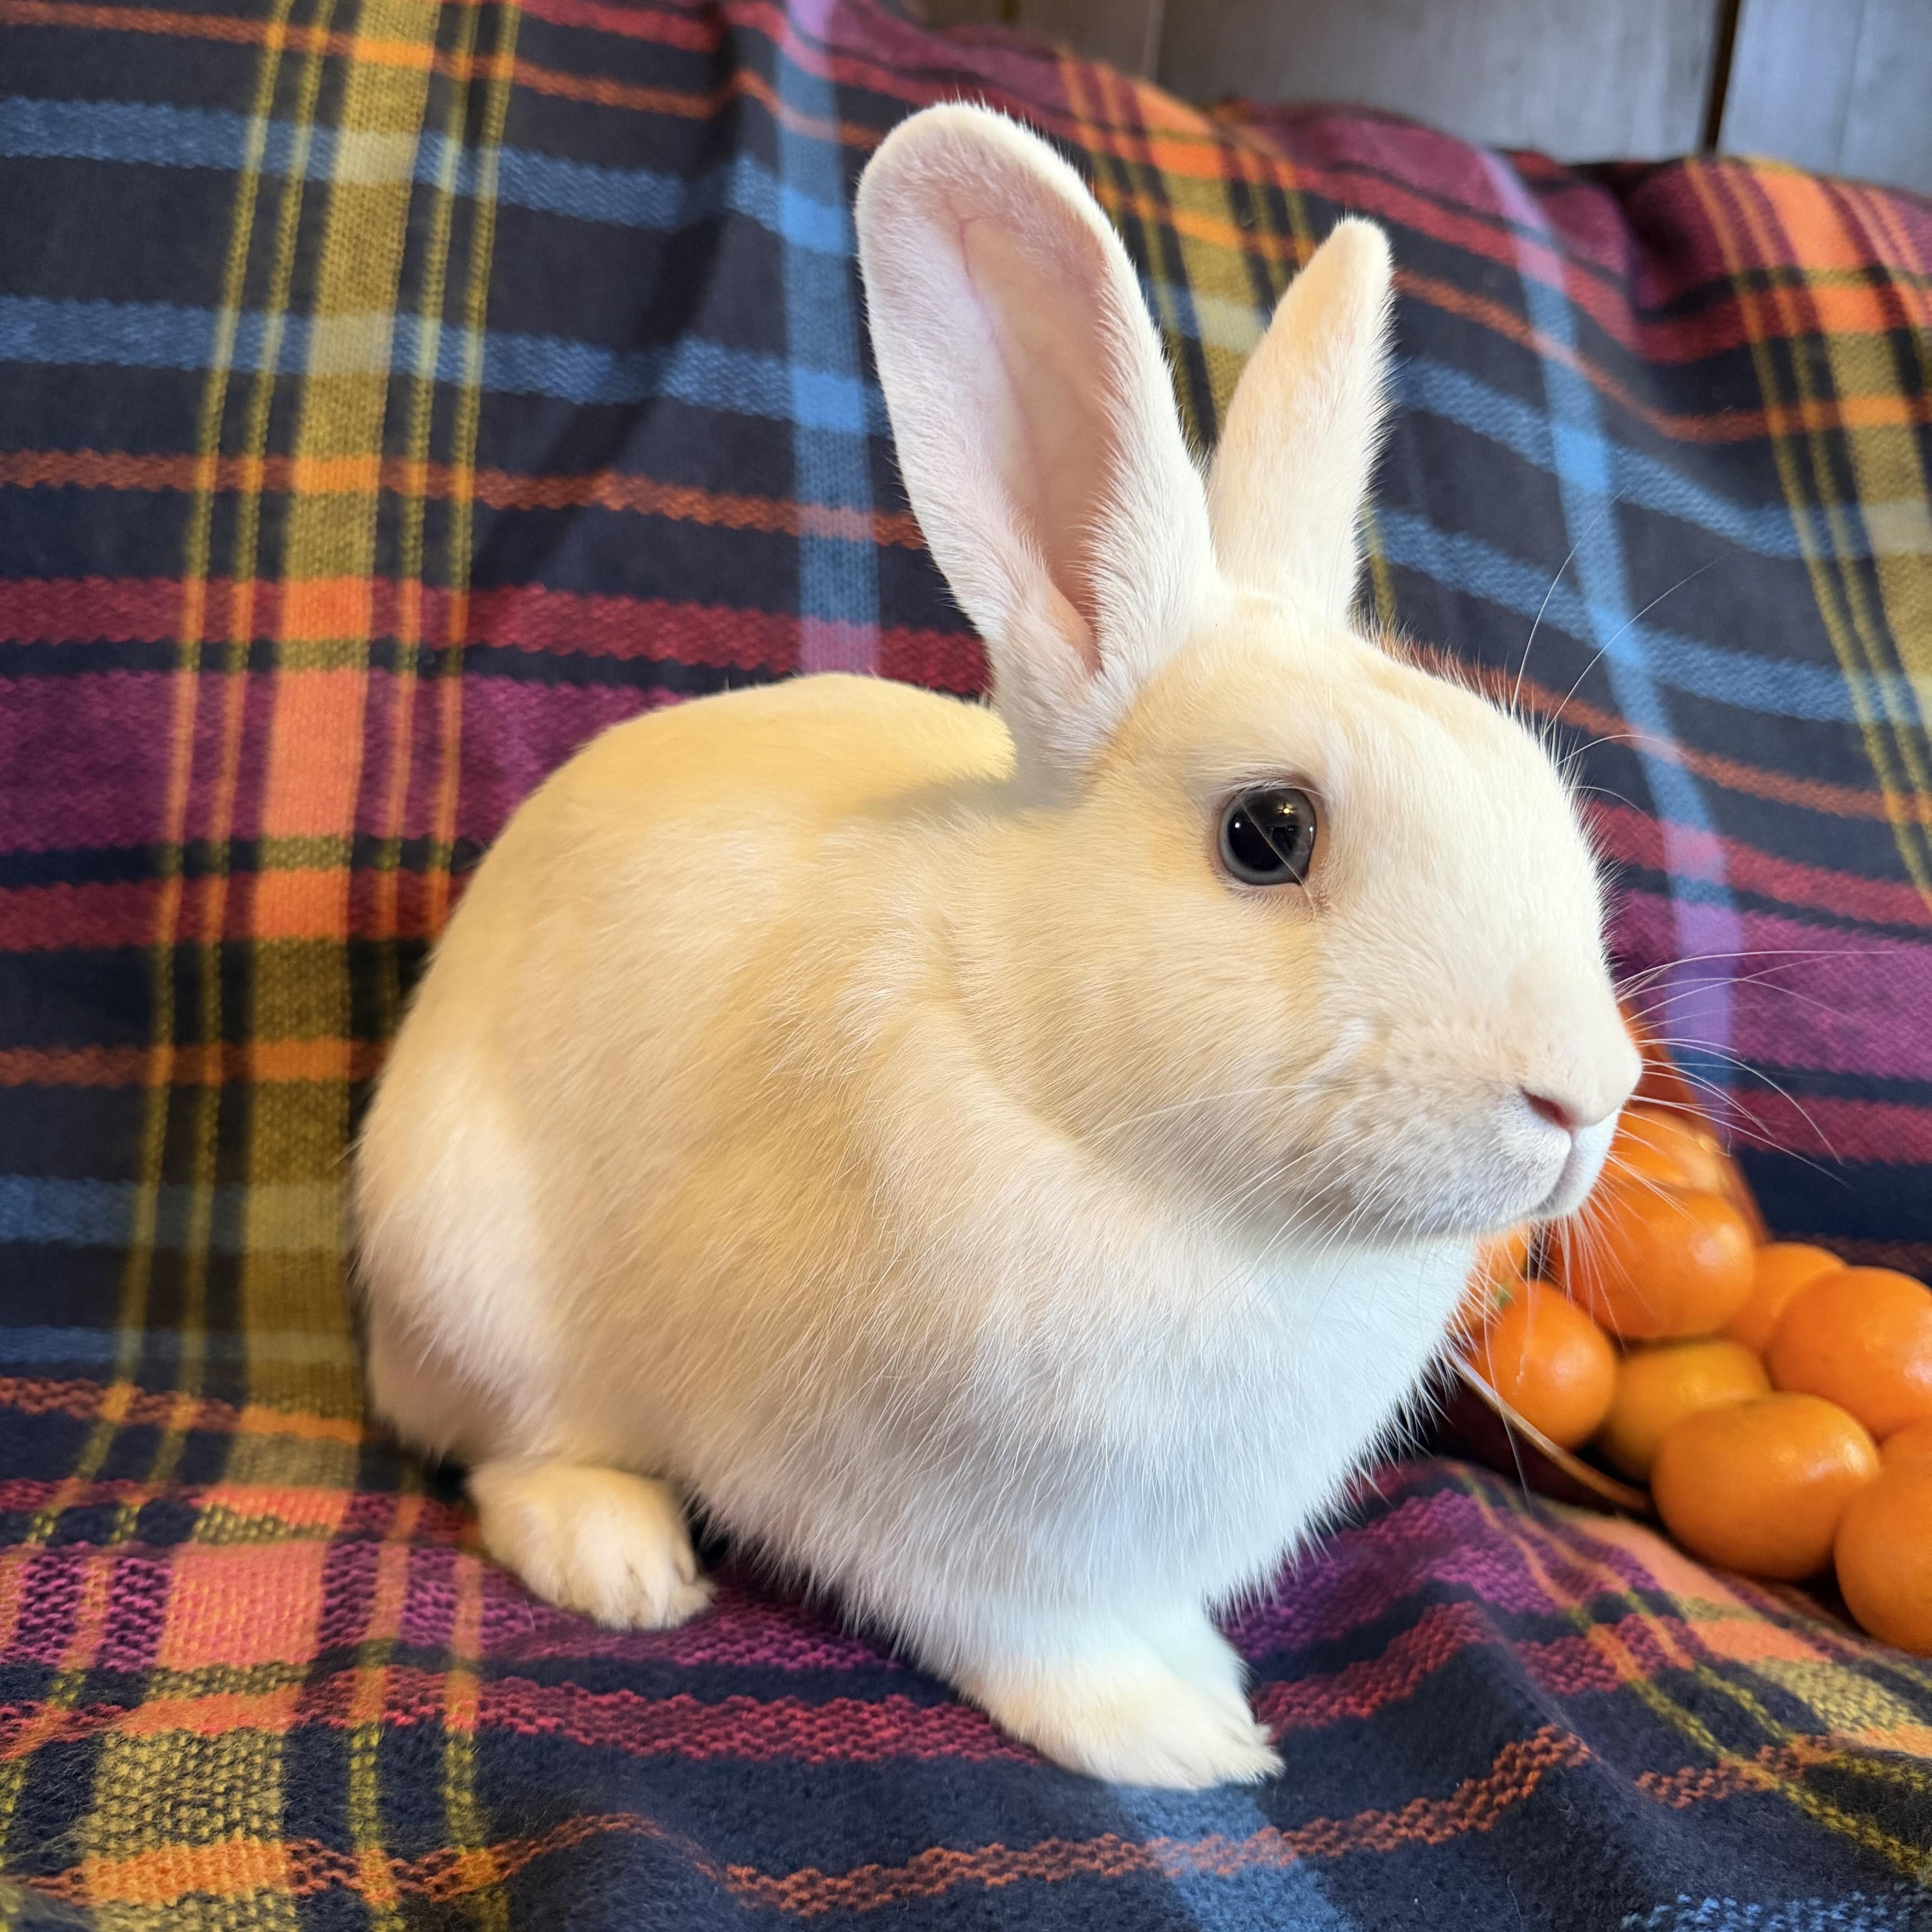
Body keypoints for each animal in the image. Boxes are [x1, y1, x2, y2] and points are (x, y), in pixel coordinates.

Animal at [353, 101, 1640, 1789]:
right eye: (1268, 833)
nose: (1584, 1099)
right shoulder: (930, 1516)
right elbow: (1030, 1641)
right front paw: (1182, 1742)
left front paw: (1210, 1680)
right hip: (477, 1272)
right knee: (509, 1448)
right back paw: (618, 1561)